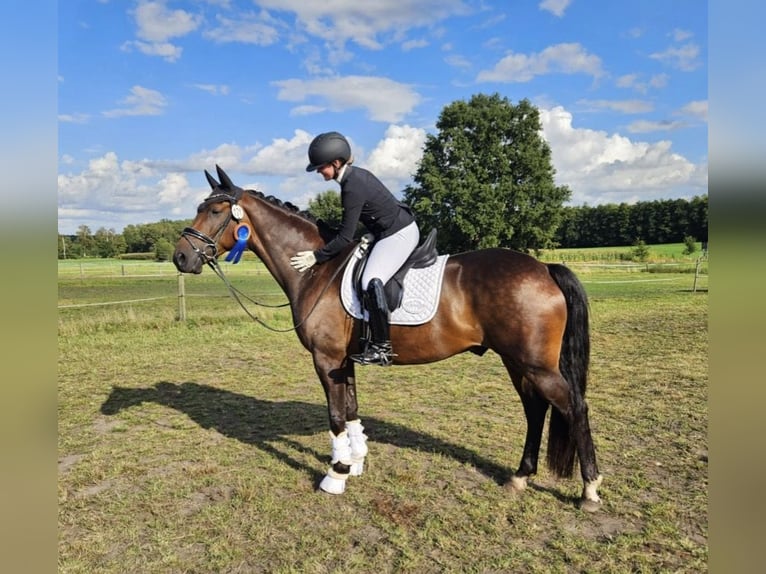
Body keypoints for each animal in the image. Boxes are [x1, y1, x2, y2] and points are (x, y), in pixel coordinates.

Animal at [172, 165, 603, 511]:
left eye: (214, 211)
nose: (181, 258)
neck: (318, 271)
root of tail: (544, 268)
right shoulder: (344, 362)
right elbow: (350, 410)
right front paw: (356, 461)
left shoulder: (326, 359)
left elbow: (335, 416)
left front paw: (336, 474)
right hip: (517, 361)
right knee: (536, 409)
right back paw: (520, 477)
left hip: (534, 364)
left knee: (574, 407)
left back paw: (590, 490)